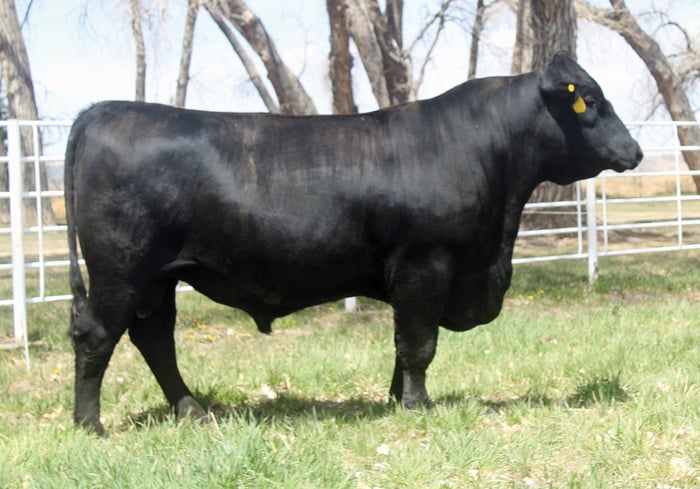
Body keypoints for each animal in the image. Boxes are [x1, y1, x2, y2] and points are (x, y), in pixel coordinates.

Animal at [65, 52, 642, 434]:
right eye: (591, 101)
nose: (635, 151)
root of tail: (104, 109)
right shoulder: (425, 265)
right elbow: (419, 344)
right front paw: (417, 406)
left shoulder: (418, 278)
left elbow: (404, 343)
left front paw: (394, 398)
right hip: (122, 270)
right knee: (97, 336)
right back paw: (90, 424)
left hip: (158, 280)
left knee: (154, 339)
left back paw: (191, 410)